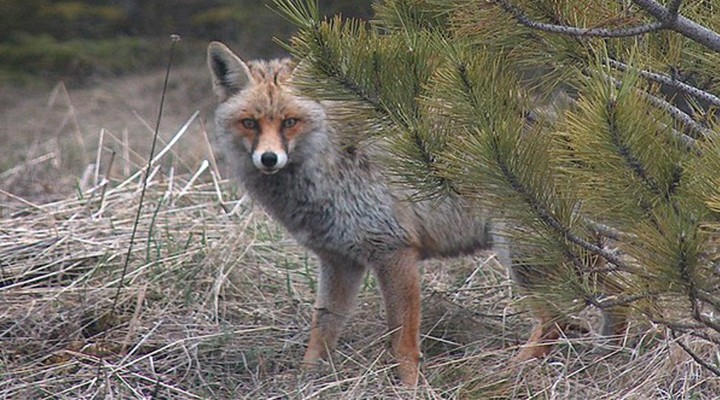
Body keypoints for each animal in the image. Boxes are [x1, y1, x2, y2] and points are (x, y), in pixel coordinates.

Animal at [207, 42, 624, 386]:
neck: (325, 165)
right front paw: (306, 381)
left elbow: (402, 342)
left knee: (556, 322)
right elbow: (322, 331)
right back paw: (611, 355)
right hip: (570, 258)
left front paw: (408, 386)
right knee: (619, 296)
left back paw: (512, 371)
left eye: (290, 122)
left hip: (528, 258)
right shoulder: (340, 262)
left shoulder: (394, 252)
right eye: (250, 123)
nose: (269, 159)